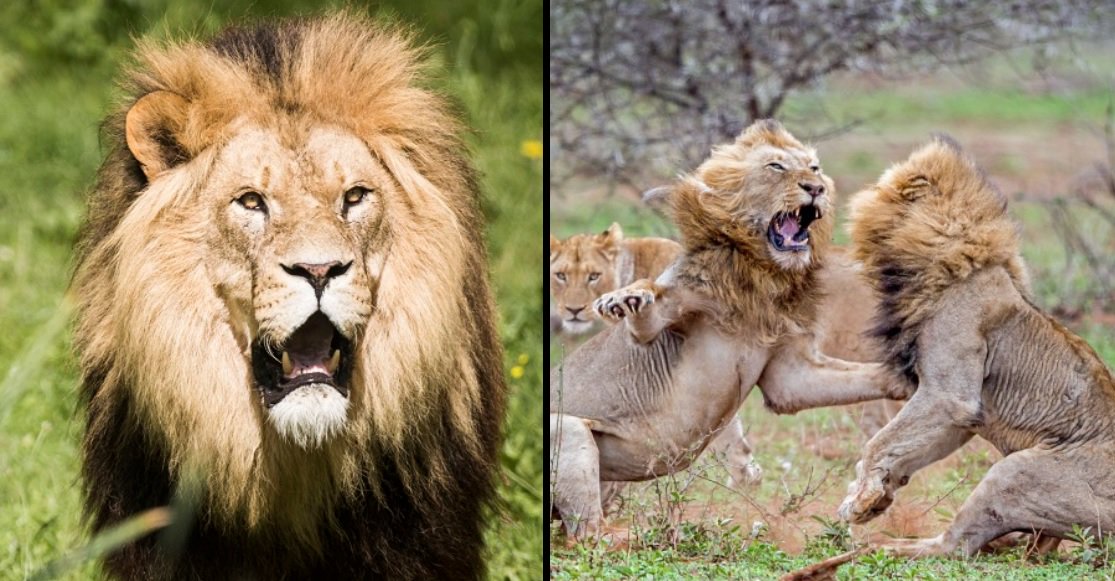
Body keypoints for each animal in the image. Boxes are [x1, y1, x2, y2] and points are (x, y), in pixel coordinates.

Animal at [549, 120, 909, 539]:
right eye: (776, 167)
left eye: (814, 168)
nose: (815, 188)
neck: (761, 276)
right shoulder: (660, 321)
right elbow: (645, 306)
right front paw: (623, 299)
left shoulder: (789, 374)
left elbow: (857, 376)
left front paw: (908, 378)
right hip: (569, 429)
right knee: (589, 535)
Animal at [802, 136, 1115, 571]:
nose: (819, 189)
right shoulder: (962, 416)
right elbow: (906, 447)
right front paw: (879, 495)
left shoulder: (948, 396)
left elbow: (878, 442)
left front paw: (860, 501)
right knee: (1032, 544)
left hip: (1013, 471)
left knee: (954, 546)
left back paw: (880, 549)